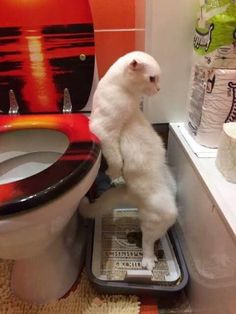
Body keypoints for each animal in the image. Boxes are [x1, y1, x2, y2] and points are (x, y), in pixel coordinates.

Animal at [79, 51, 177, 270]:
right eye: (152, 78)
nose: (159, 89)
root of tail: (131, 194)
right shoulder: (105, 133)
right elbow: (116, 160)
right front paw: (114, 175)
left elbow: (116, 159)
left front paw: (113, 175)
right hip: (162, 213)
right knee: (148, 240)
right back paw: (149, 260)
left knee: (150, 238)